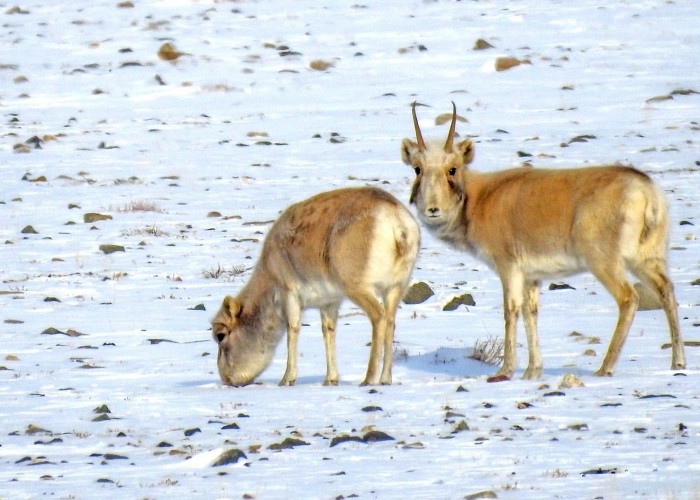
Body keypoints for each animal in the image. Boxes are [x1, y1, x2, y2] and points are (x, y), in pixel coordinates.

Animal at [212, 188, 422, 386]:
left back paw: (369, 379)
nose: (226, 379)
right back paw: (385, 379)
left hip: (360, 289)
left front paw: (287, 378)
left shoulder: (290, 295)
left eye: (220, 336)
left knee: (379, 317)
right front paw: (330, 379)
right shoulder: (329, 303)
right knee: (390, 322)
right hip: (394, 289)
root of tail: (397, 223)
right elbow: (328, 331)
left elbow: (292, 329)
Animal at [402, 102, 688, 378]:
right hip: (647, 259)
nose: (432, 209)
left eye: (452, 169)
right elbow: (531, 313)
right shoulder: (532, 277)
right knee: (666, 290)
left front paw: (505, 370)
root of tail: (644, 189)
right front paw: (532, 371)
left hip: (605, 263)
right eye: (418, 169)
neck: (482, 197)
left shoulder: (508, 268)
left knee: (629, 298)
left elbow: (511, 310)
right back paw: (678, 362)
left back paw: (605, 368)